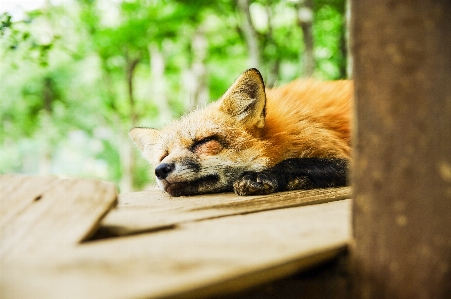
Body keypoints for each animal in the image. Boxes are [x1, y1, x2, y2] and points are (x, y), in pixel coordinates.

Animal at [131, 69, 354, 198]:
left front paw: (261, 176)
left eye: (203, 142)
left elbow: (294, 162)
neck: (279, 134)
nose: (160, 170)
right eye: (163, 155)